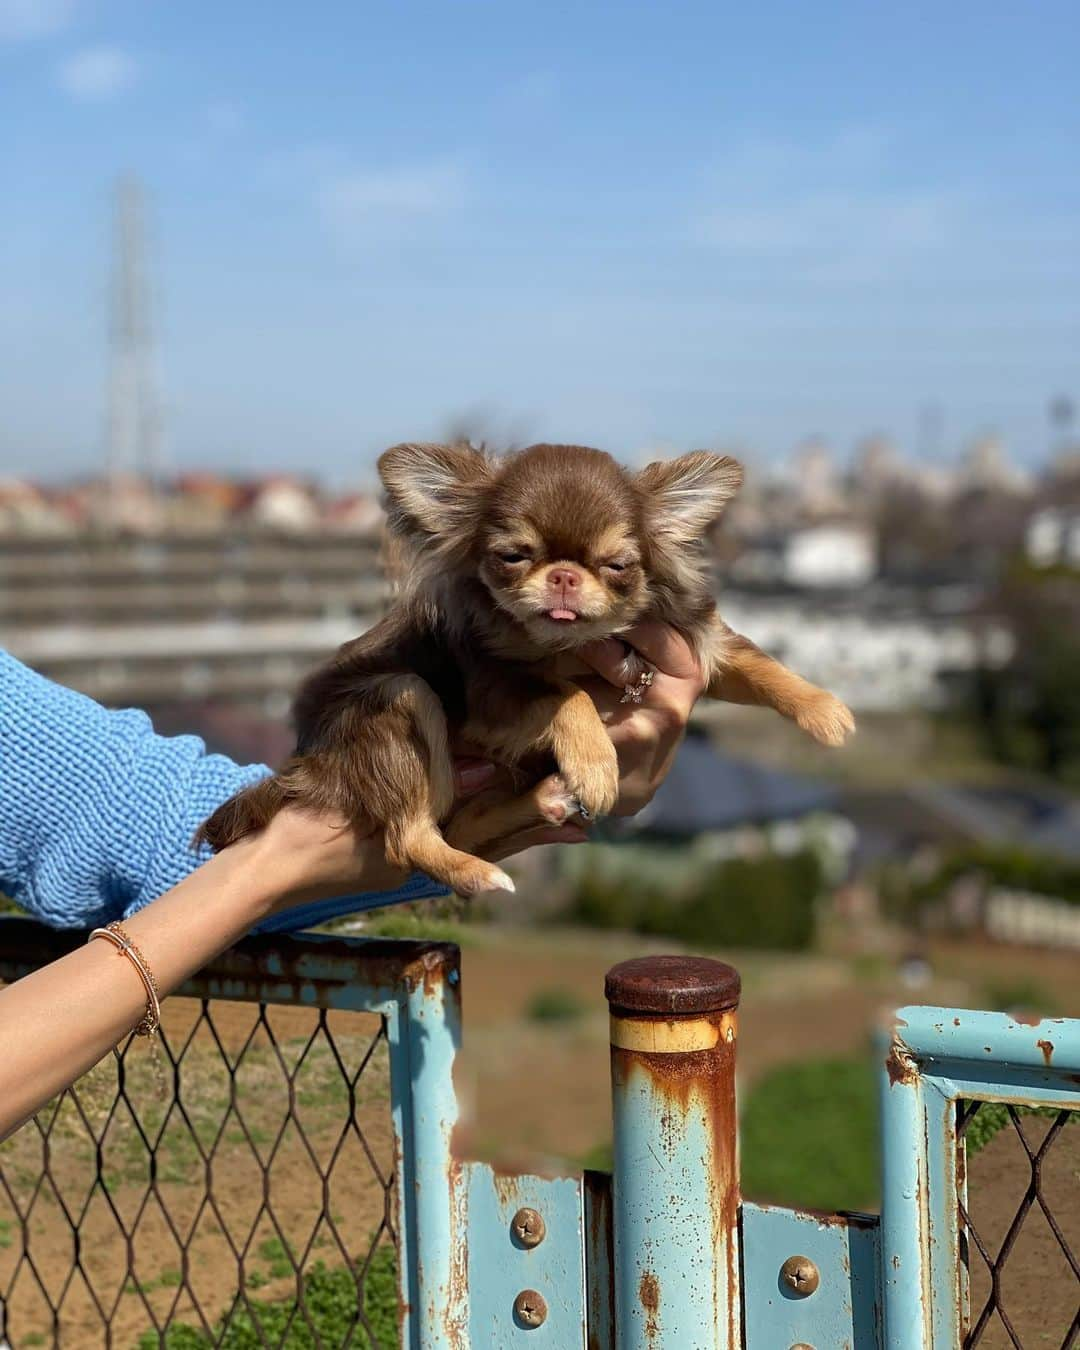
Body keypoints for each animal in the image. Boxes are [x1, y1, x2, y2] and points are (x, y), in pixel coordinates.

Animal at [194, 442, 853, 901]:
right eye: (513, 557)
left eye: (617, 565)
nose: (563, 576)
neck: (572, 640)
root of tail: (304, 765)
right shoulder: (495, 689)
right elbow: (565, 694)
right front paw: (596, 764)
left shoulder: (696, 643)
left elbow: (757, 664)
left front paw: (825, 710)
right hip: (396, 701)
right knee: (412, 836)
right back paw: (479, 869)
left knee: (462, 822)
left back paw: (546, 801)